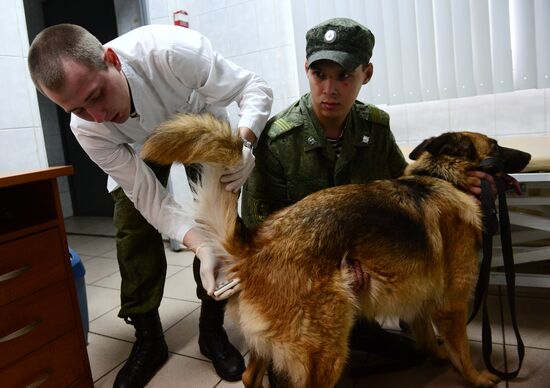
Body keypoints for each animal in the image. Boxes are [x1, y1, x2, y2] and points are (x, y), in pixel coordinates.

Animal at [141, 113, 532, 386]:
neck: (443, 179)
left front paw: (434, 355)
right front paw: (479, 377)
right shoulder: (452, 305)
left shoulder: (422, 300)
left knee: (252, 377)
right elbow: (463, 351)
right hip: (327, 348)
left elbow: (428, 339)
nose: (529, 153)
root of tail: (256, 244)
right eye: (496, 146)